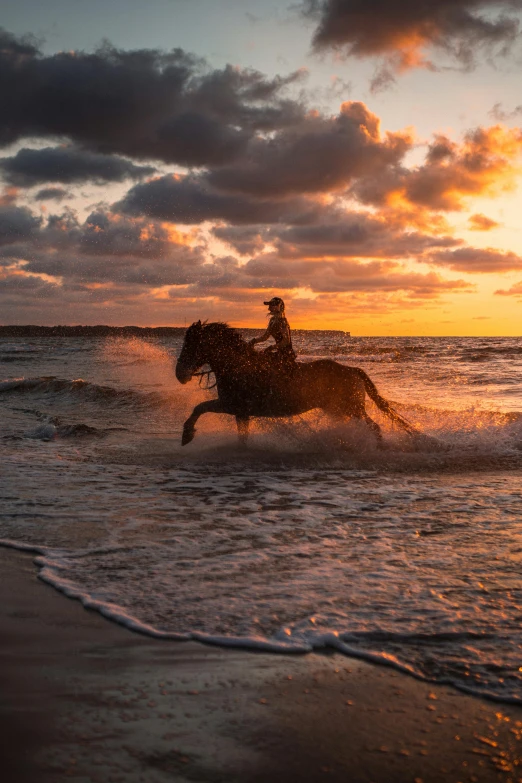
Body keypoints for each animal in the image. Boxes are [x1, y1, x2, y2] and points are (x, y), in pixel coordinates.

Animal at [173, 322, 416, 448]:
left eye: (191, 345)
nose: (179, 374)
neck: (238, 365)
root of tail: (352, 370)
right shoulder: (241, 412)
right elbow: (242, 436)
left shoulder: (231, 405)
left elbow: (199, 407)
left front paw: (187, 435)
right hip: (338, 411)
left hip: (352, 408)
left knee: (374, 426)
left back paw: (379, 448)